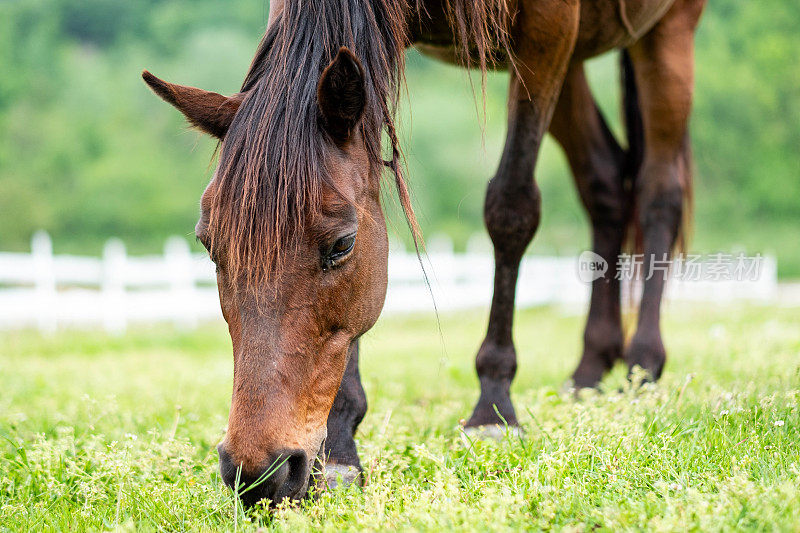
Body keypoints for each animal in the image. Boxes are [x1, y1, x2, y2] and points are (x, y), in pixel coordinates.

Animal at [142, 0, 700, 508]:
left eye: (342, 244)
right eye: (208, 244)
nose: (259, 473)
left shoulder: (547, 30)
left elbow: (512, 207)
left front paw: (493, 408)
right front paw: (340, 450)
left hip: (663, 35)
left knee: (659, 192)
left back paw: (642, 366)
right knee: (605, 183)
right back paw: (589, 371)